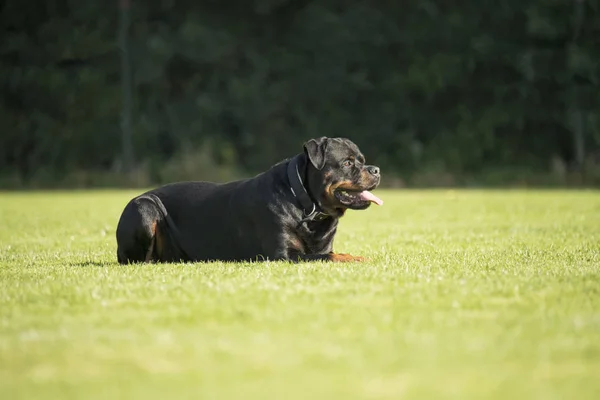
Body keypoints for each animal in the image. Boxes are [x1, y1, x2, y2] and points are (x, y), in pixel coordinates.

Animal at [115, 136, 382, 264]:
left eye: (362, 160)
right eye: (347, 163)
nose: (376, 169)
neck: (306, 206)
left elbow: (327, 252)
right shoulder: (282, 255)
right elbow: (331, 256)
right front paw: (356, 257)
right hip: (144, 207)